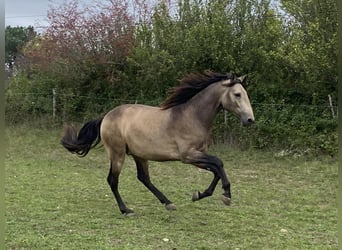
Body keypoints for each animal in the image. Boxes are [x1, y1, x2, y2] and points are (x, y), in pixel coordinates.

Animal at [60, 70, 254, 215]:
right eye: (237, 94)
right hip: (117, 154)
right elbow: (218, 164)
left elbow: (216, 169)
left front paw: (199, 194)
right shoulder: (188, 156)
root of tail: (106, 116)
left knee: (143, 178)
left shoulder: (197, 157)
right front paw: (226, 195)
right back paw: (126, 210)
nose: (250, 120)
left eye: (245, 94)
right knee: (113, 180)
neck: (192, 117)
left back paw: (168, 202)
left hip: (139, 154)